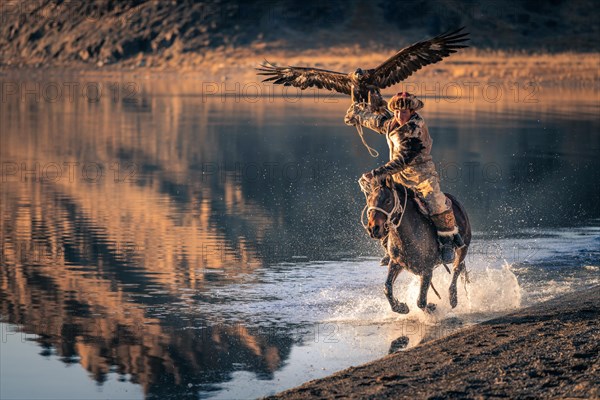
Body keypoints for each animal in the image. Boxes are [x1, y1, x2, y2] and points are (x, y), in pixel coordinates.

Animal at [364, 177, 472, 312]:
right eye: (369, 200)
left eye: (388, 201)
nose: (373, 229)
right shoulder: (395, 263)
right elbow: (387, 288)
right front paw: (401, 307)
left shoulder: (427, 270)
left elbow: (421, 301)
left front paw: (432, 307)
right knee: (461, 269)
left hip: (463, 248)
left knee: (456, 269)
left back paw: (453, 298)